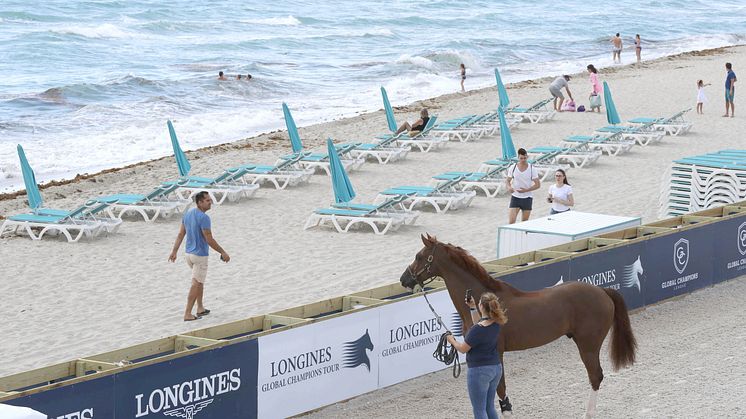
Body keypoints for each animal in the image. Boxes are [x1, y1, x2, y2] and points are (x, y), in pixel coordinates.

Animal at [398, 235, 636, 418]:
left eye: (419, 256)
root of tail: (603, 291)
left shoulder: (497, 353)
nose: (404, 279)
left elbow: (501, 390)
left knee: (595, 376)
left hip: (588, 345)